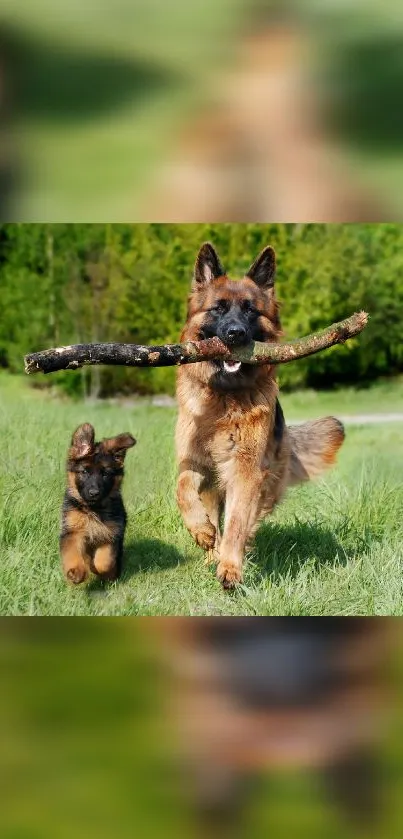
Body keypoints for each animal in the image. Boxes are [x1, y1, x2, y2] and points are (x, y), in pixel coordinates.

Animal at [59, 424, 136, 588]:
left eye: (105, 474)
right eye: (84, 472)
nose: (94, 493)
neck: (93, 509)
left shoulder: (111, 534)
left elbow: (104, 561)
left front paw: (97, 568)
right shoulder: (72, 532)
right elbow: (74, 555)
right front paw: (76, 572)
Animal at [175, 241, 346, 592]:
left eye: (250, 311)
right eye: (218, 309)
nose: (235, 334)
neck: (224, 397)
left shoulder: (245, 471)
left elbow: (237, 522)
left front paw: (231, 568)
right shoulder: (194, 461)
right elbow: (182, 489)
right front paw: (201, 531)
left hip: (265, 483)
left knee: (247, 521)